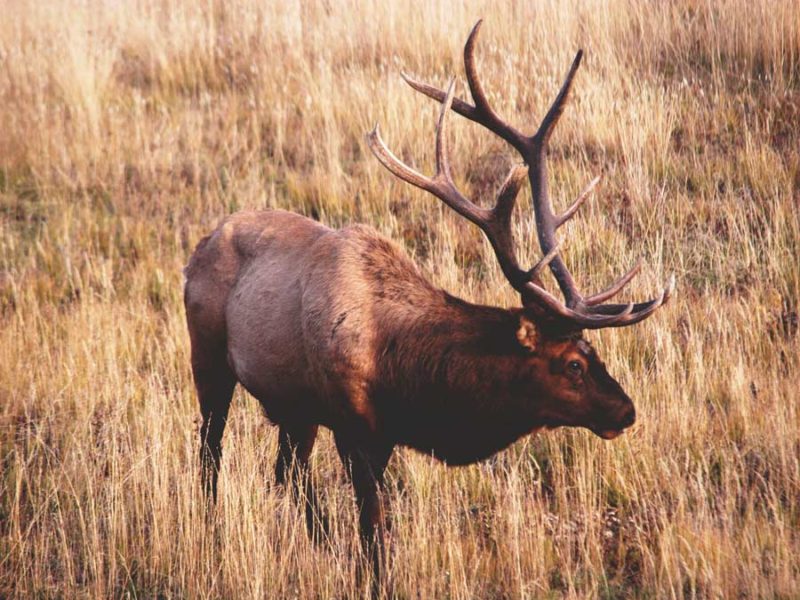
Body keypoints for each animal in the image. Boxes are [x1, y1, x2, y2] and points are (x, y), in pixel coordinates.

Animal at [184, 18, 672, 580]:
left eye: (595, 353)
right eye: (572, 363)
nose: (626, 410)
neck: (406, 374)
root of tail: (199, 245)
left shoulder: (373, 430)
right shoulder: (353, 425)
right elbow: (373, 531)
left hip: (291, 405)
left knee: (288, 474)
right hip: (209, 359)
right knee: (211, 453)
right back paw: (210, 529)